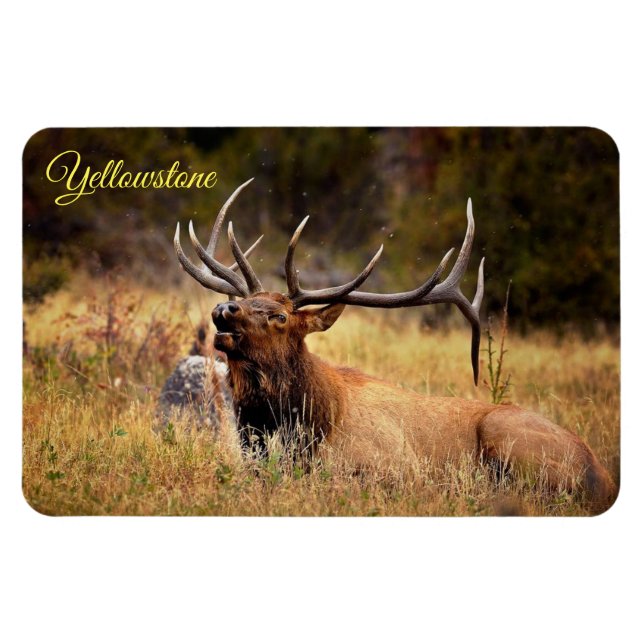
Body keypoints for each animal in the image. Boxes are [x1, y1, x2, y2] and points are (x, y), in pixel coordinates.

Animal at [173, 179, 617, 509]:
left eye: (280, 317)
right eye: (247, 301)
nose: (225, 308)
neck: (310, 424)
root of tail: (603, 475)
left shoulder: (392, 466)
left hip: (509, 437)